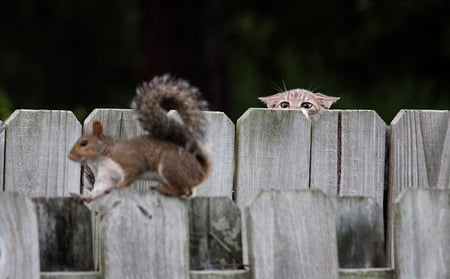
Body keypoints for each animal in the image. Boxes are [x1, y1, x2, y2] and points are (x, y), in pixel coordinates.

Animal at [69, 74, 213, 202]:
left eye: (84, 143)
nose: (70, 156)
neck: (105, 154)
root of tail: (200, 170)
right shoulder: (107, 176)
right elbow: (99, 189)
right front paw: (83, 197)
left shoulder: (130, 162)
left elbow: (130, 175)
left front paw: (117, 187)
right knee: (187, 192)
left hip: (170, 165)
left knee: (182, 190)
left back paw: (162, 189)